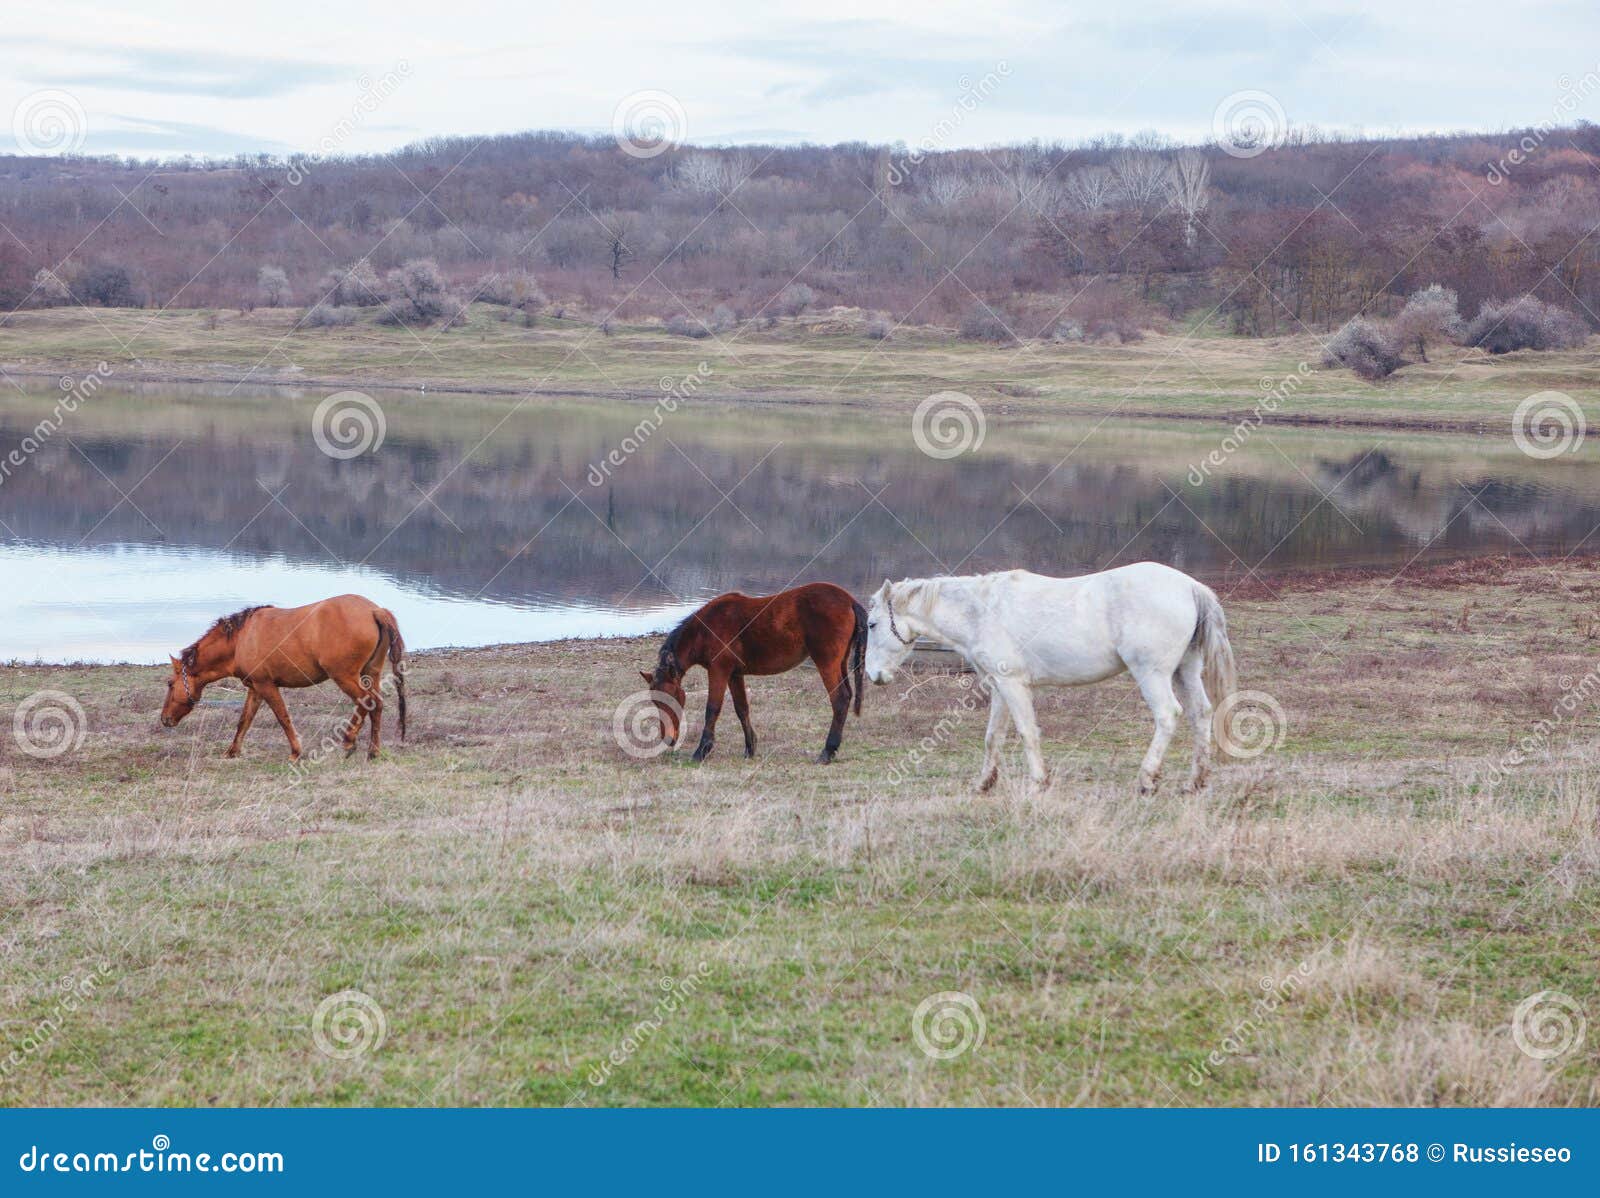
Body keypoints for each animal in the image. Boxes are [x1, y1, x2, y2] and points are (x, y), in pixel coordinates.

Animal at [160, 594, 407, 761]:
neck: (241, 638)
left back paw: (349, 742)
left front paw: (296, 752)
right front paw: (232, 751)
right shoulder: (255, 688)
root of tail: (375, 611)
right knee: (376, 704)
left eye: (170, 684)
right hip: (370, 673)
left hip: (345, 677)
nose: (164, 719)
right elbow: (244, 720)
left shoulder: (266, 685)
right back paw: (373, 751)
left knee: (366, 702)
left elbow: (283, 717)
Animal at [640, 582, 868, 763]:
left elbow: (712, 709)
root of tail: (850, 601)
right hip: (840, 663)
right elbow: (742, 709)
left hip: (826, 663)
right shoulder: (734, 674)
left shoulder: (719, 671)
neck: (705, 629)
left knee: (840, 699)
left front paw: (702, 751)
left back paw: (827, 751)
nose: (668, 739)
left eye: (670, 697)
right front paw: (750, 749)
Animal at [864, 562, 1236, 794]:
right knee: (1201, 714)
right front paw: (984, 783)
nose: (873, 675)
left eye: (871, 624)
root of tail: (1190, 586)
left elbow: (1027, 733)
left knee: (1168, 715)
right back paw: (1195, 782)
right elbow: (993, 737)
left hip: (1152, 674)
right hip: (1185, 670)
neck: (982, 611)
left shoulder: (1014, 685)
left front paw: (1038, 783)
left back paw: (1147, 780)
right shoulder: (999, 686)